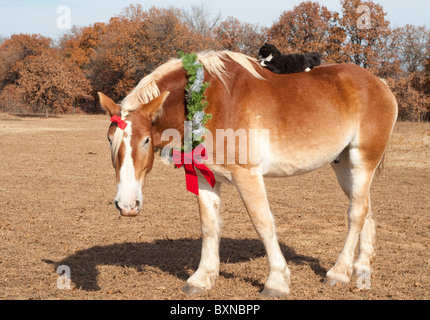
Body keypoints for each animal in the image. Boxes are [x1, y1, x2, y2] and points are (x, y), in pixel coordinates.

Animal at [97, 50, 396, 298]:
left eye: (146, 140)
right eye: (110, 139)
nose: (127, 205)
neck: (209, 101)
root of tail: (379, 83)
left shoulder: (247, 176)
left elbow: (263, 223)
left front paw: (277, 282)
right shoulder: (204, 177)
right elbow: (209, 226)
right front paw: (202, 278)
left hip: (362, 161)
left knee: (355, 213)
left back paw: (339, 272)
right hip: (344, 166)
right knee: (364, 208)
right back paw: (361, 267)